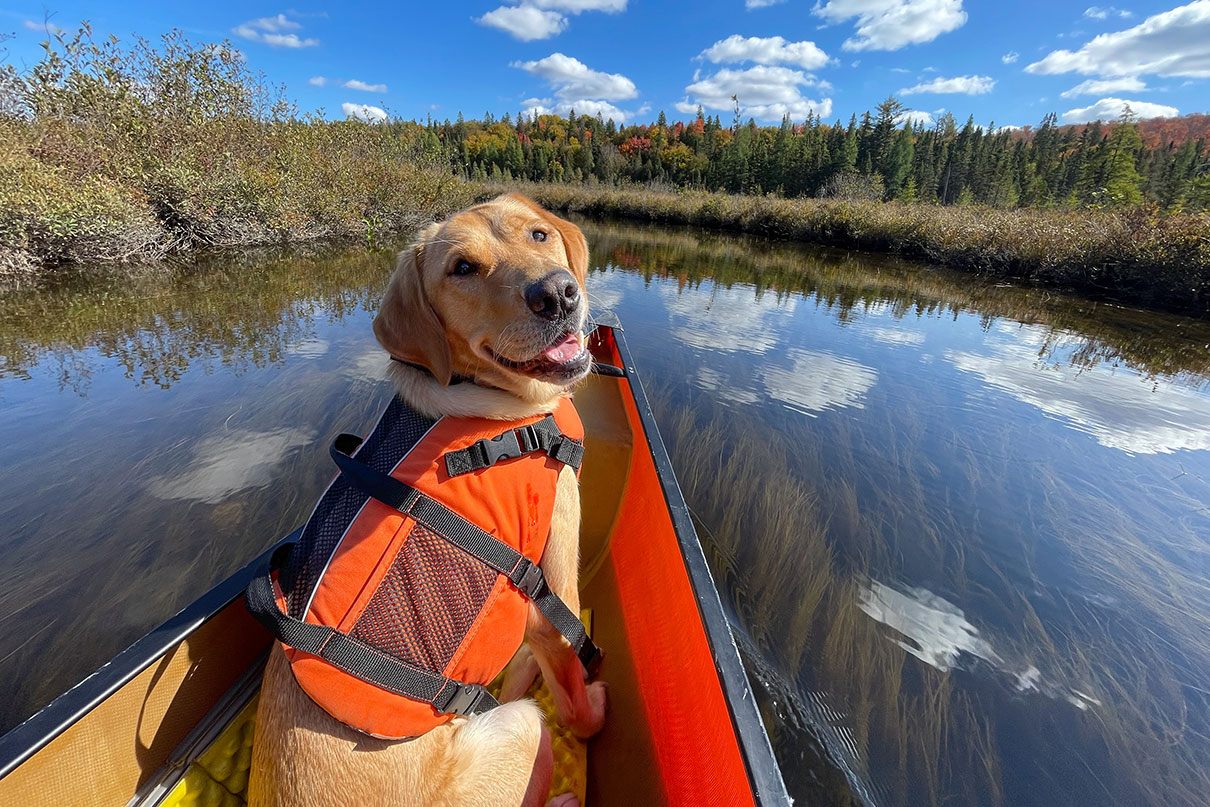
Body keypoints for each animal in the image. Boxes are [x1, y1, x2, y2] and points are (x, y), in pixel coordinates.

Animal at [248, 196, 605, 807]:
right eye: (462, 268)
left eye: (539, 234)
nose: (558, 293)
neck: (475, 392)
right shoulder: (555, 581)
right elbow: (577, 704)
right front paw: (594, 710)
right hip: (520, 725)